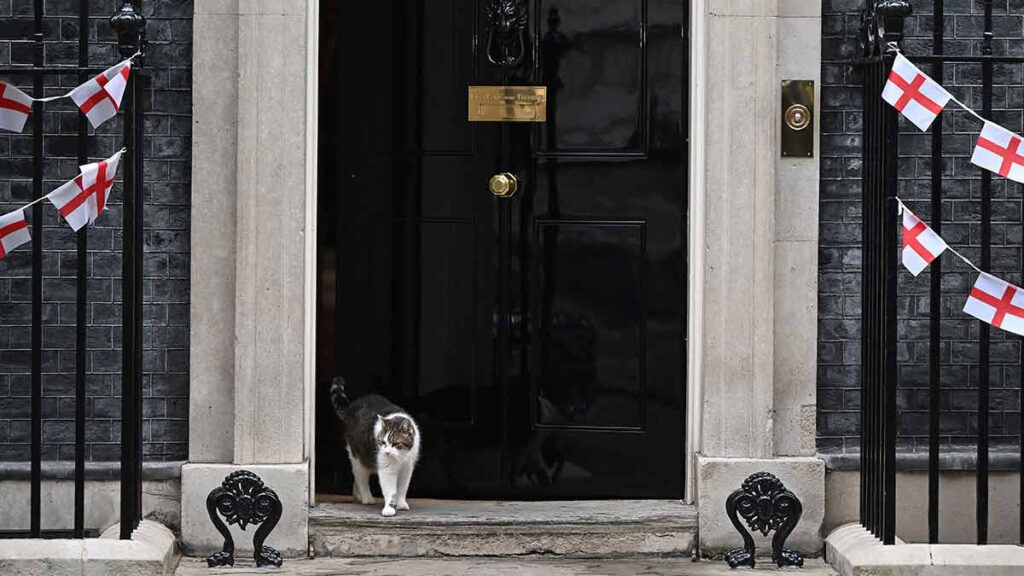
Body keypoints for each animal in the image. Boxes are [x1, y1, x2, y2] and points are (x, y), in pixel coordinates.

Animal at [331, 377, 419, 516]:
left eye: (395, 443)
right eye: (382, 442)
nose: (386, 452)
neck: (401, 456)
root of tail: (351, 406)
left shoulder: (407, 468)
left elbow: (402, 488)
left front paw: (401, 503)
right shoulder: (387, 468)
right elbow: (390, 489)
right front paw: (389, 508)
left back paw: (358, 496)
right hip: (358, 457)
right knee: (361, 477)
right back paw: (366, 498)